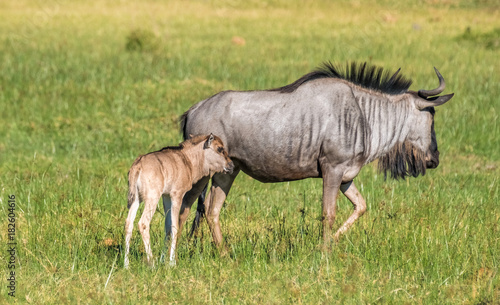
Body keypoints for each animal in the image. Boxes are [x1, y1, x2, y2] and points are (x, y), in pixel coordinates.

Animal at [125, 133, 234, 266]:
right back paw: (152, 263)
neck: (187, 160)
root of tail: (138, 165)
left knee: (128, 223)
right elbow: (175, 227)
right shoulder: (177, 195)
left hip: (135, 199)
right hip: (152, 198)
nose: (231, 165)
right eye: (219, 148)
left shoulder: (166, 197)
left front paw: (163, 260)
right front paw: (172, 263)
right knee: (143, 223)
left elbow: (167, 227)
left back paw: (126, 265)